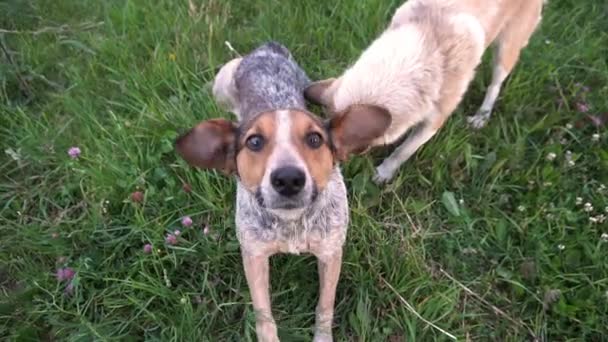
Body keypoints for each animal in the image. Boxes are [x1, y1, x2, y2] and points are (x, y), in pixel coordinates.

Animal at [173, 41, 392, 340]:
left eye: (315, 139)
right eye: (254, 141)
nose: (288, 178)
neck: (291, 223)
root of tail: (264, 48)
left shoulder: (331, 252)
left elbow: (325, 306)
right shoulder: (253, 255)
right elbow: (264, 316)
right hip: (224, 83)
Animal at [306, 0, 544, 183]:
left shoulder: (432, 123)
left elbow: (404, 150)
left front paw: (384, 172)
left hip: (506, 50)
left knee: (495, 84)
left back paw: (481, 116)